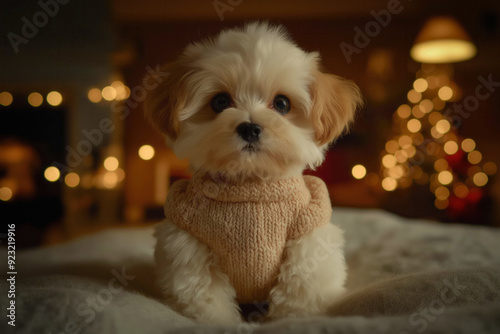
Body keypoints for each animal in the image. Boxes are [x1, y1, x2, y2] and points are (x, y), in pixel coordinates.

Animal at [146, 22, 362, 324]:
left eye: (282, 104)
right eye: (220, 102)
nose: (249, 128)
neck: (251, 184)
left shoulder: (308, 235)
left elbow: (299, 286)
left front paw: (290, 320)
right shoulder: (188, 241)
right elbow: (204, 292)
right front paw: (220, 322)